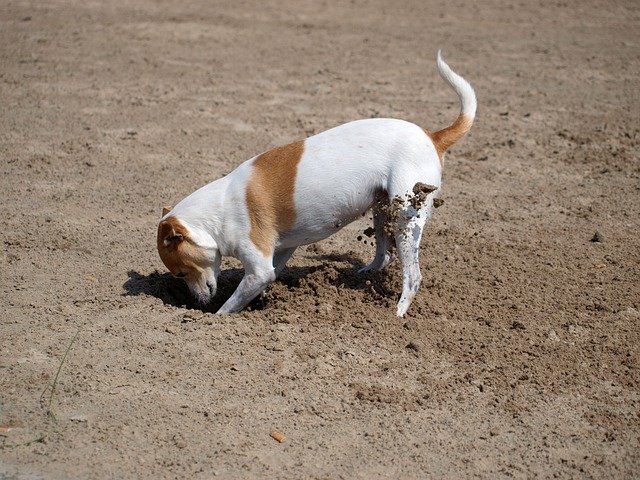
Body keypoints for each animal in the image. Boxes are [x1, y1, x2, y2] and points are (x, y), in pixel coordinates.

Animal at [156, 50, 476, 316]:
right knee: (384, 256)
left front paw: (216, 318)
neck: (218, 210)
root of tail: (433, 136)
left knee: (413, 277)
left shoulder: (258, 268)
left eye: (180, 272)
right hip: (383, 208)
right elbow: (272, 275)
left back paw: (397, 313)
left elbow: (235, 300)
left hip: (406, 220)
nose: (198, 302)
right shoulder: (281, 251)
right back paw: (364, 273)